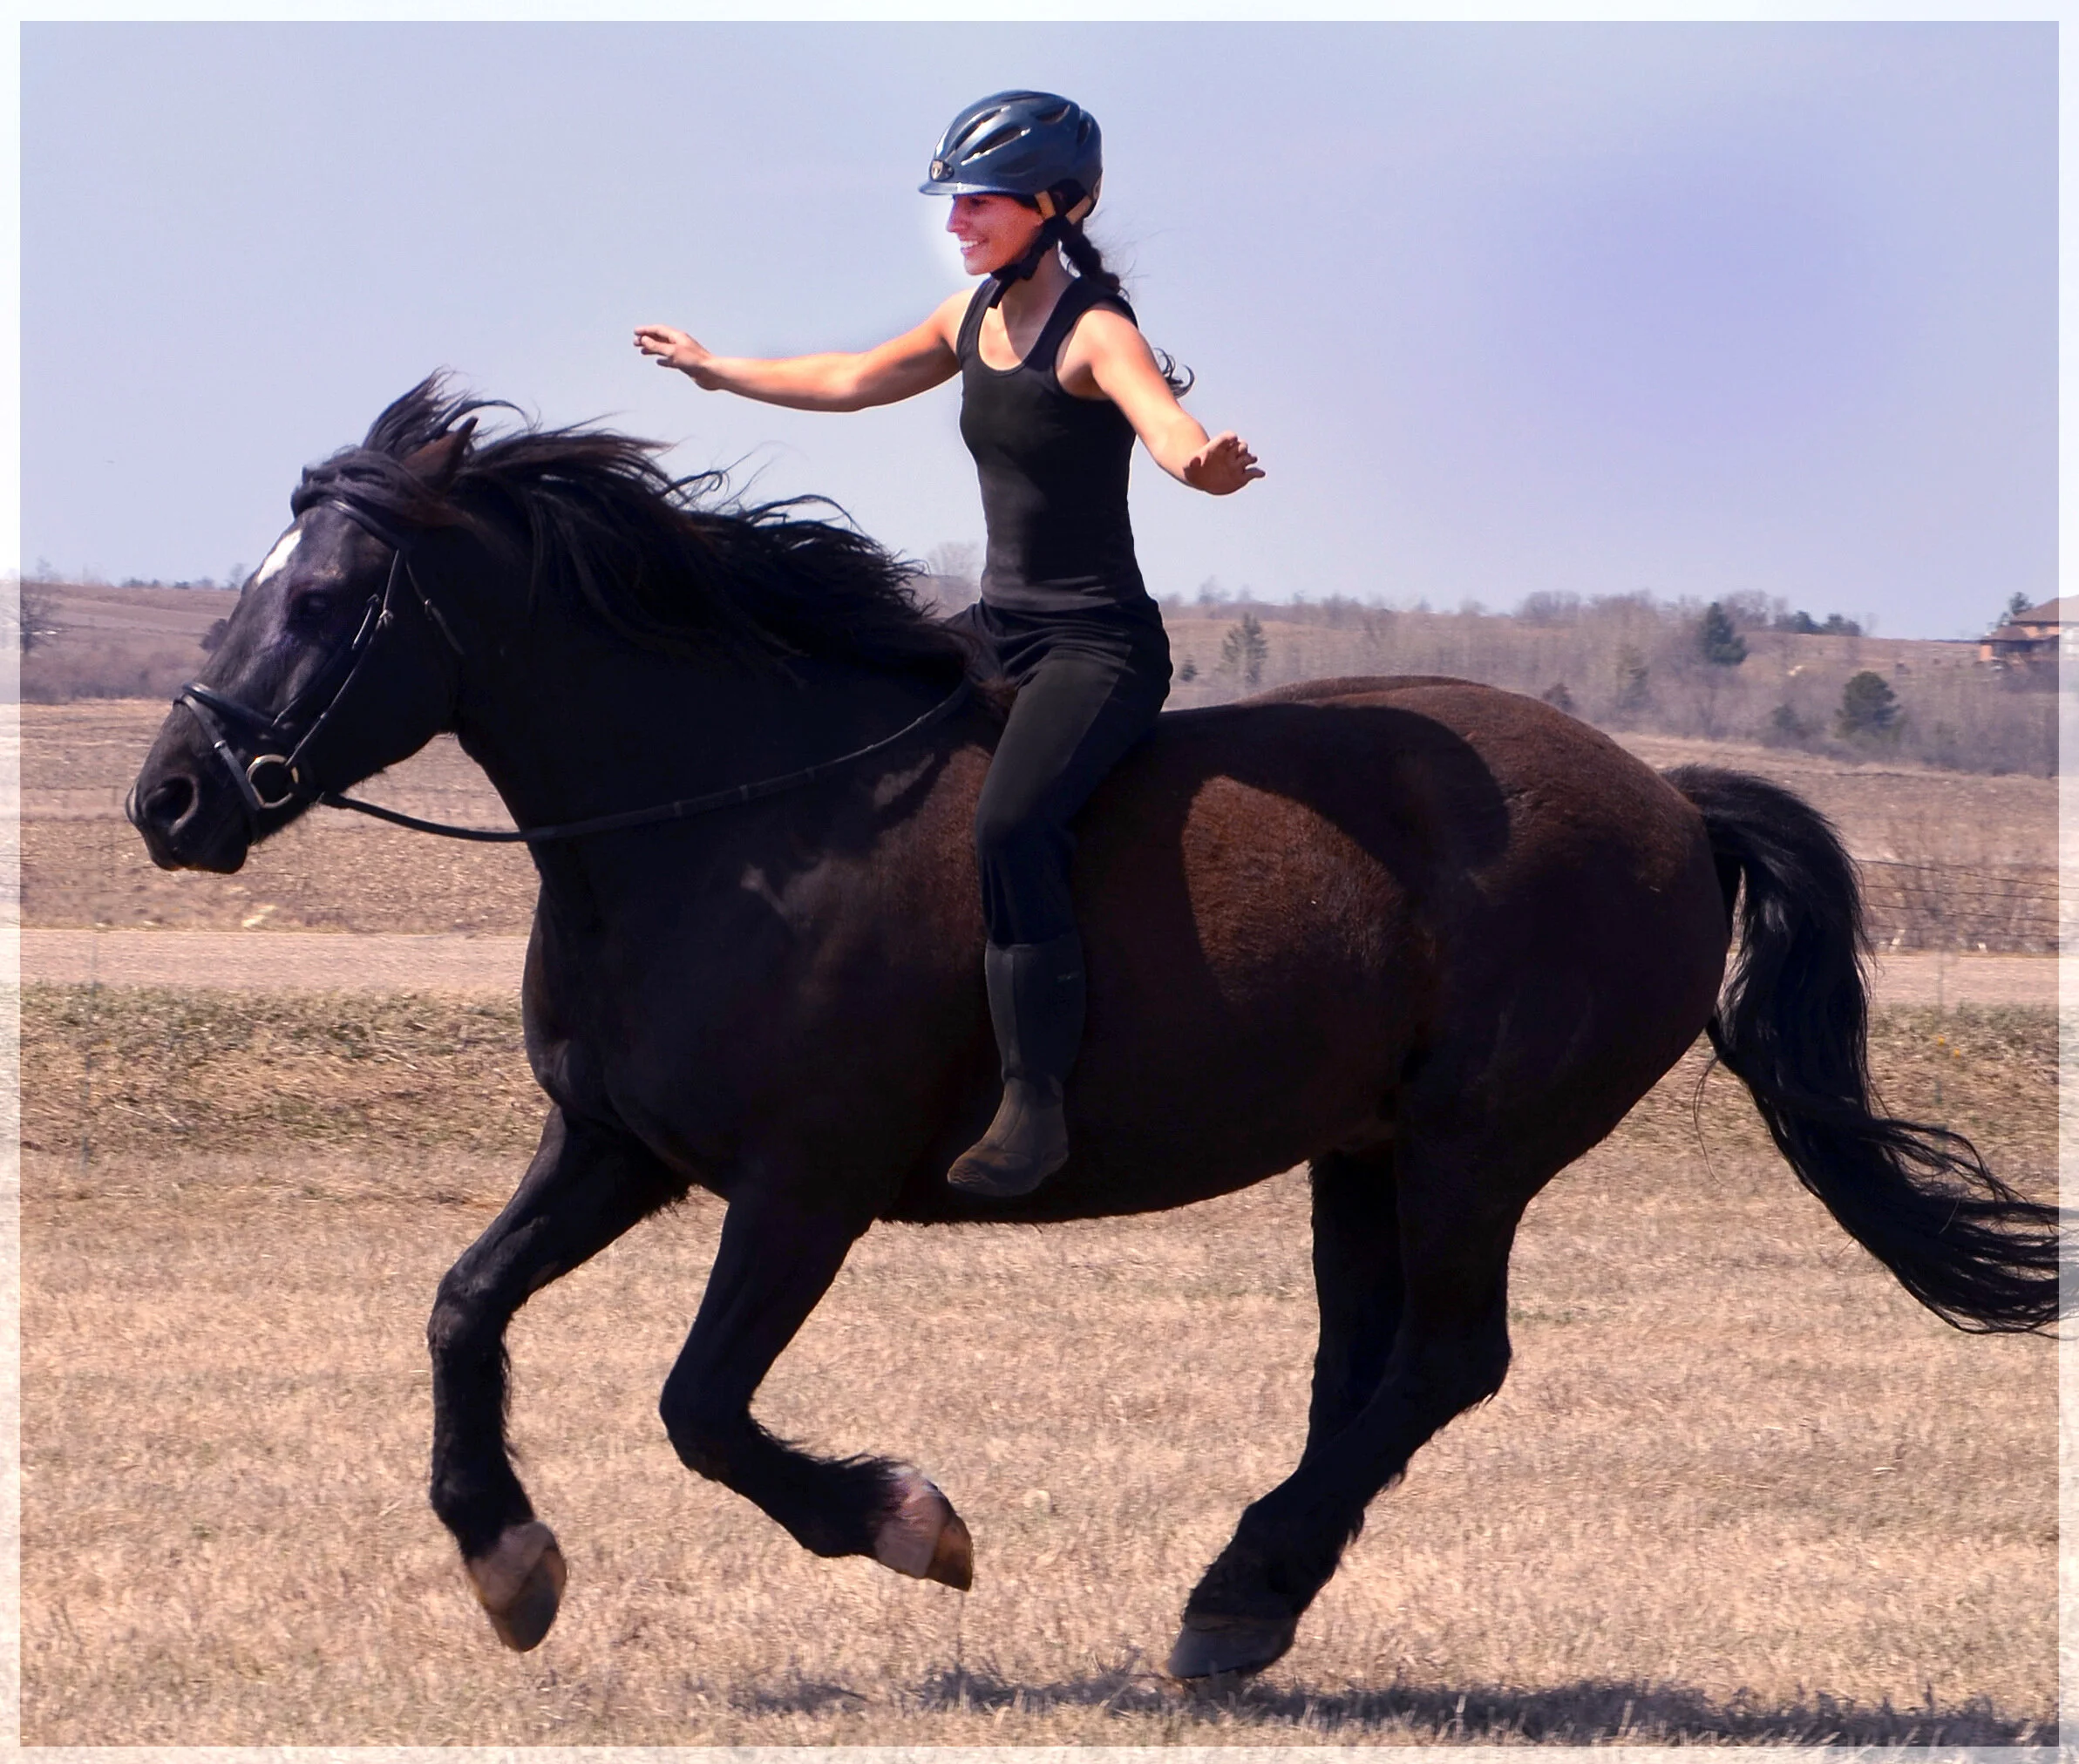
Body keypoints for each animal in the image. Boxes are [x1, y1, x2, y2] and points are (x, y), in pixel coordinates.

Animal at [127, 378, 2060, 1680]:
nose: (171, 798)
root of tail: (1666, 795)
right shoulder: (614, 1144)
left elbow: (699, 1402)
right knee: (1365, 1368)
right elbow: (463, 1305)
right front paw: (507, 1558)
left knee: (1446, 1359)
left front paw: (907, 1521)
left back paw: (1232, 1596)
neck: (724, 820)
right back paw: (1252, 1591)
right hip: (1360, 1150)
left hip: (1473, 1146)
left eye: (320, 599)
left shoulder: (801, 1188)